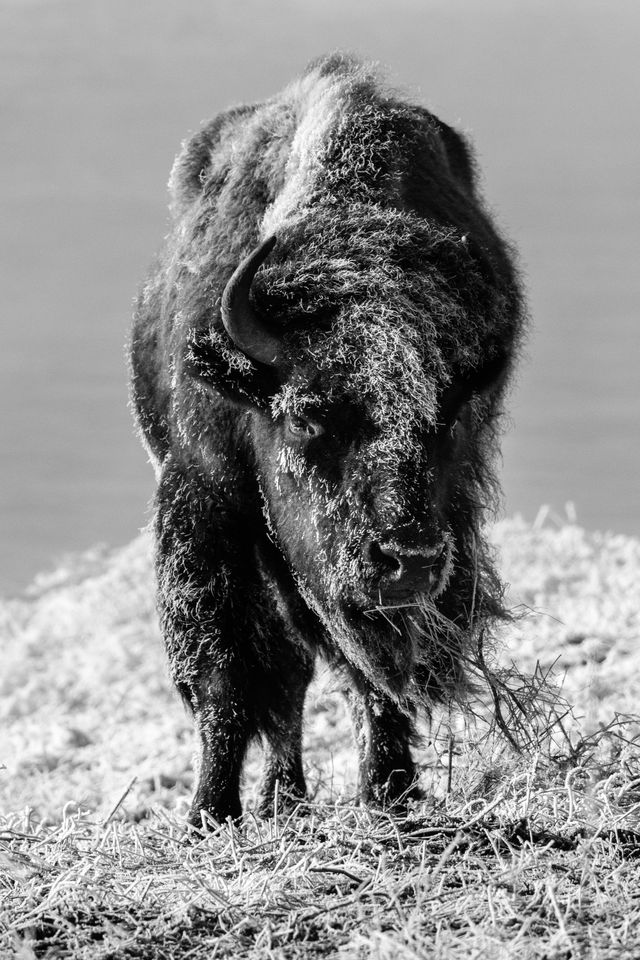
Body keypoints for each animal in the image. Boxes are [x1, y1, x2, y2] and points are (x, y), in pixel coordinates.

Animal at [127, 52, 524, 824]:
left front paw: (391, 793)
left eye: (447, 420)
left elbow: (379, 670)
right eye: (306, 415)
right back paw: (277, 800)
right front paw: (209, 813)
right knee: (283, 675)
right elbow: (224, 673)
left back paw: (294, 798)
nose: (409, 560)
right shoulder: (204, 500)